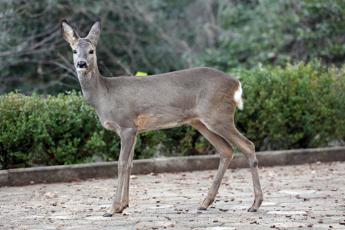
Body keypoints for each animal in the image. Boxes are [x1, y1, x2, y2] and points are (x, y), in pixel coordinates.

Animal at [60, 20, 262, 217]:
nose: (81, 64)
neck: (104, 96)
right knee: (226, 150)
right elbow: (131, 164)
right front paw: (124, 205)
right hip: (200, 121)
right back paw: (205, 203)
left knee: (248, 145)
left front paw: (112, 208)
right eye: (74, 50)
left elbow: (121, 164)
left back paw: (255, 204)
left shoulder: (127, 125)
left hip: (218, 116)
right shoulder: (134, 130)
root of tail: (236, 84)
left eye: (91, 51)